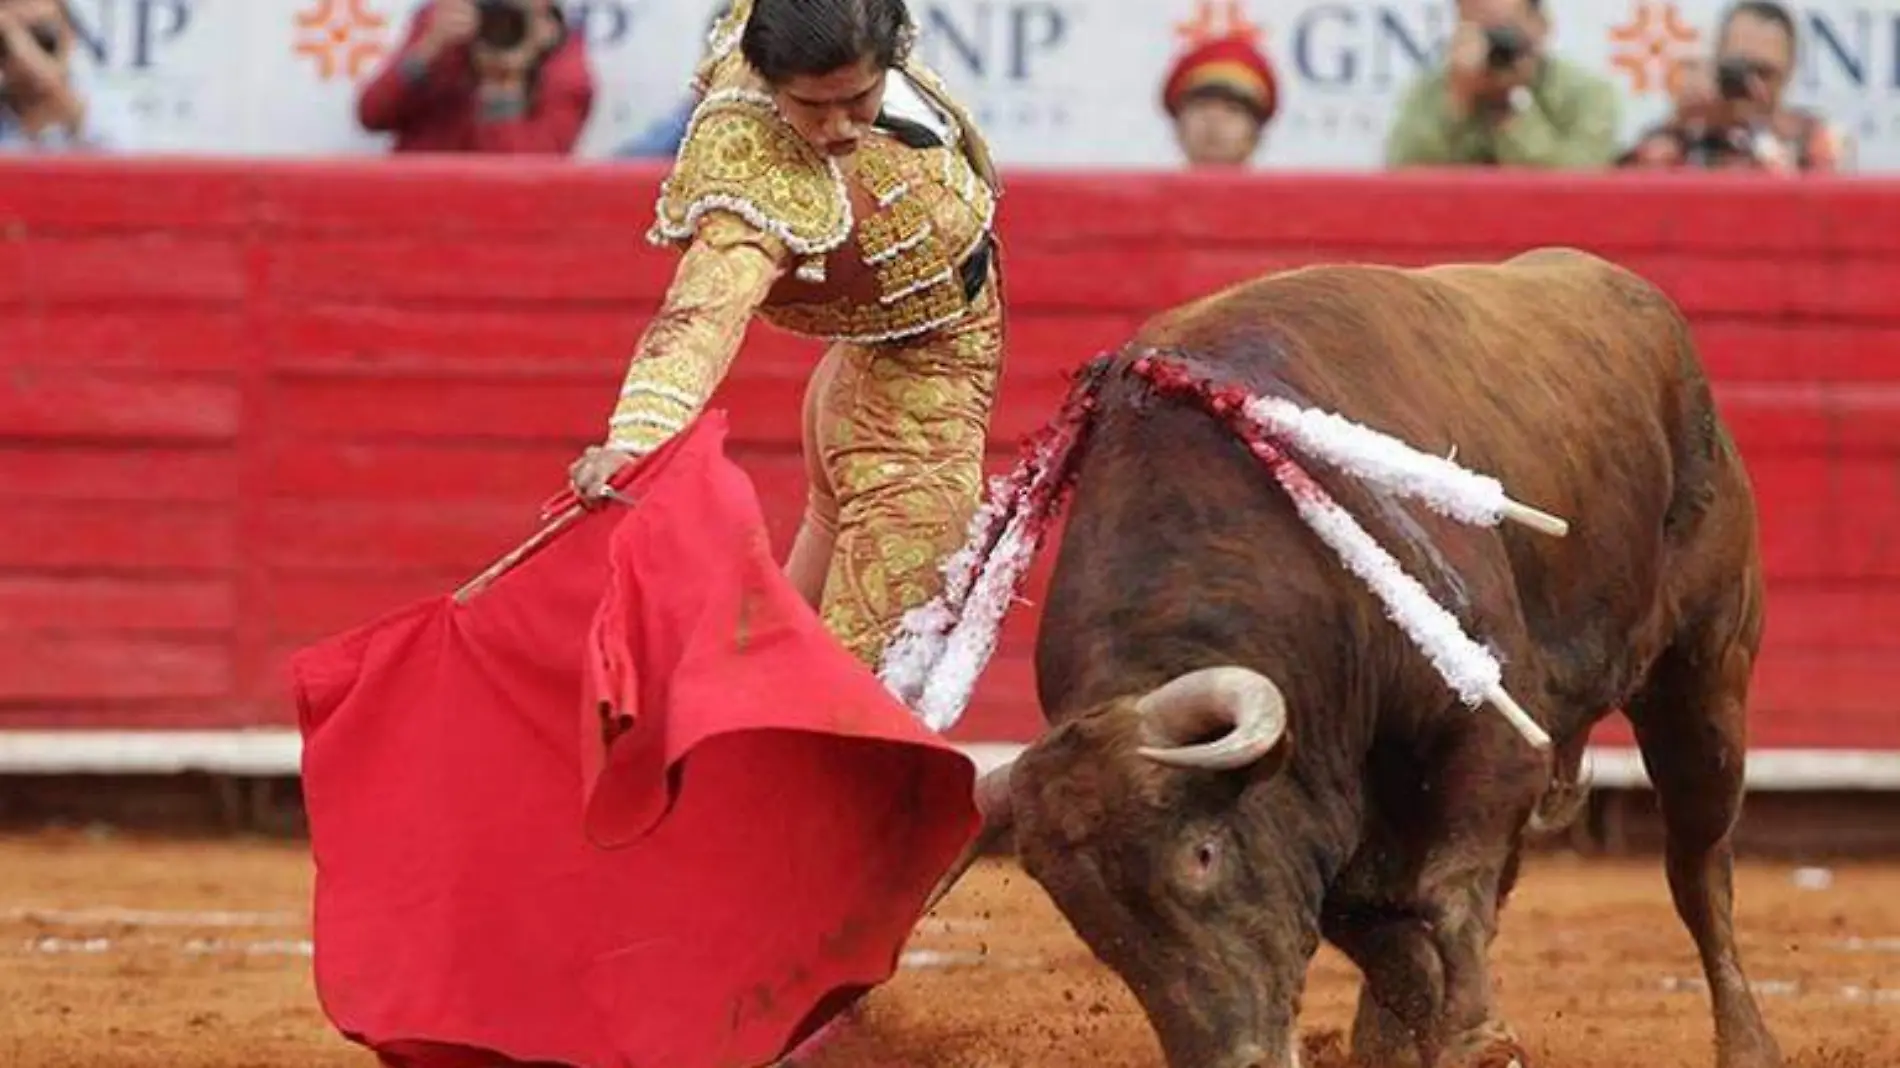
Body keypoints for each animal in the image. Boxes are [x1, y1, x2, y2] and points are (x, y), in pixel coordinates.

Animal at [972, 247, 1786, 1064]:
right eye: (1087, 916)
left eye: (1202, 853)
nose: (1240, 1059)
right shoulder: (1326, 800)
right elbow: (1386, 932)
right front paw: (1424, 1034)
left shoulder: (1491, 734)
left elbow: (1447, 890)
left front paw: (1478, 1040)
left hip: (1705, 674)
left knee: (1697, 862)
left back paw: (1747, 1043)